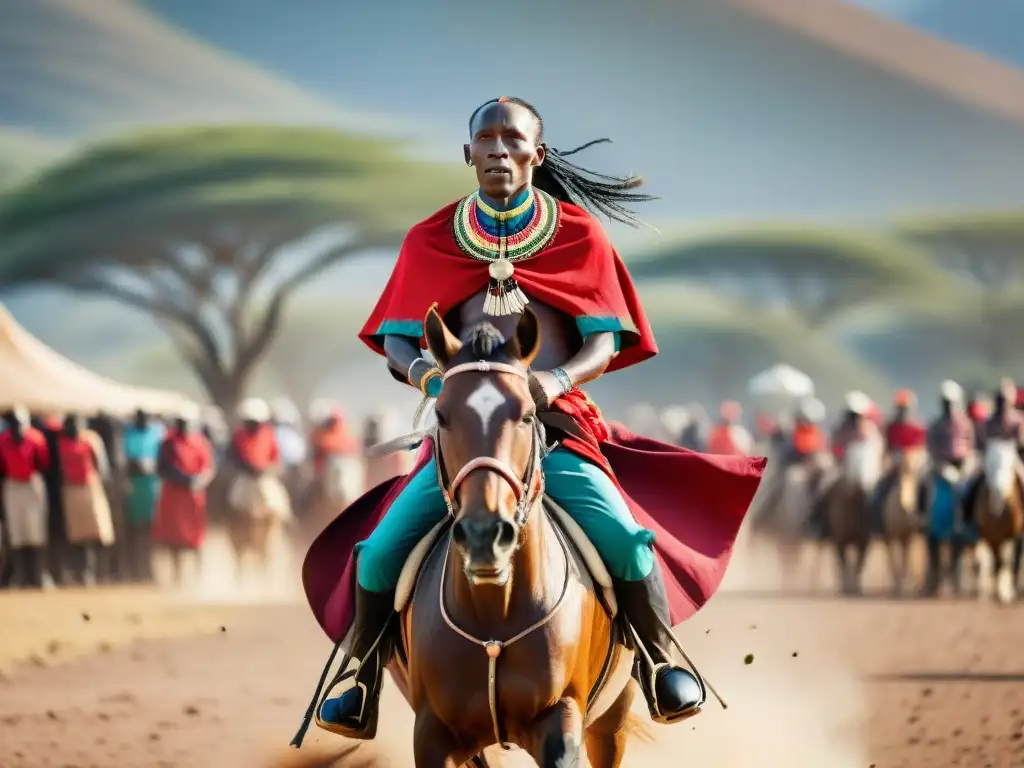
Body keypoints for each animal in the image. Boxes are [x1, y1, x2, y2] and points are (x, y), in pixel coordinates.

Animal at [385, 309, 647, 768]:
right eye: (443, 416)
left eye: (526, 415)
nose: (484, 534)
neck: (496, 611)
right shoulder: (433, 734)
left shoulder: (561, 720)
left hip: (611, 718)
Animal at [823, 438, 880, 593]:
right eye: (854, 460)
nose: (864, 486)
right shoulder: (839, 540)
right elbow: (844, 564)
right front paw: (846, 587)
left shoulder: (864, 541)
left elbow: (859, 564)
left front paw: (855, 588)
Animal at [966, 442, 1024, 606]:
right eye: (988, 466)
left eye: (1011, 465)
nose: (998, 491)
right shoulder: (985, 536)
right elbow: (986, 562)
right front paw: (985, 593)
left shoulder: (1011, 536)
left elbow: (1006, 561)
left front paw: (1005, 594)